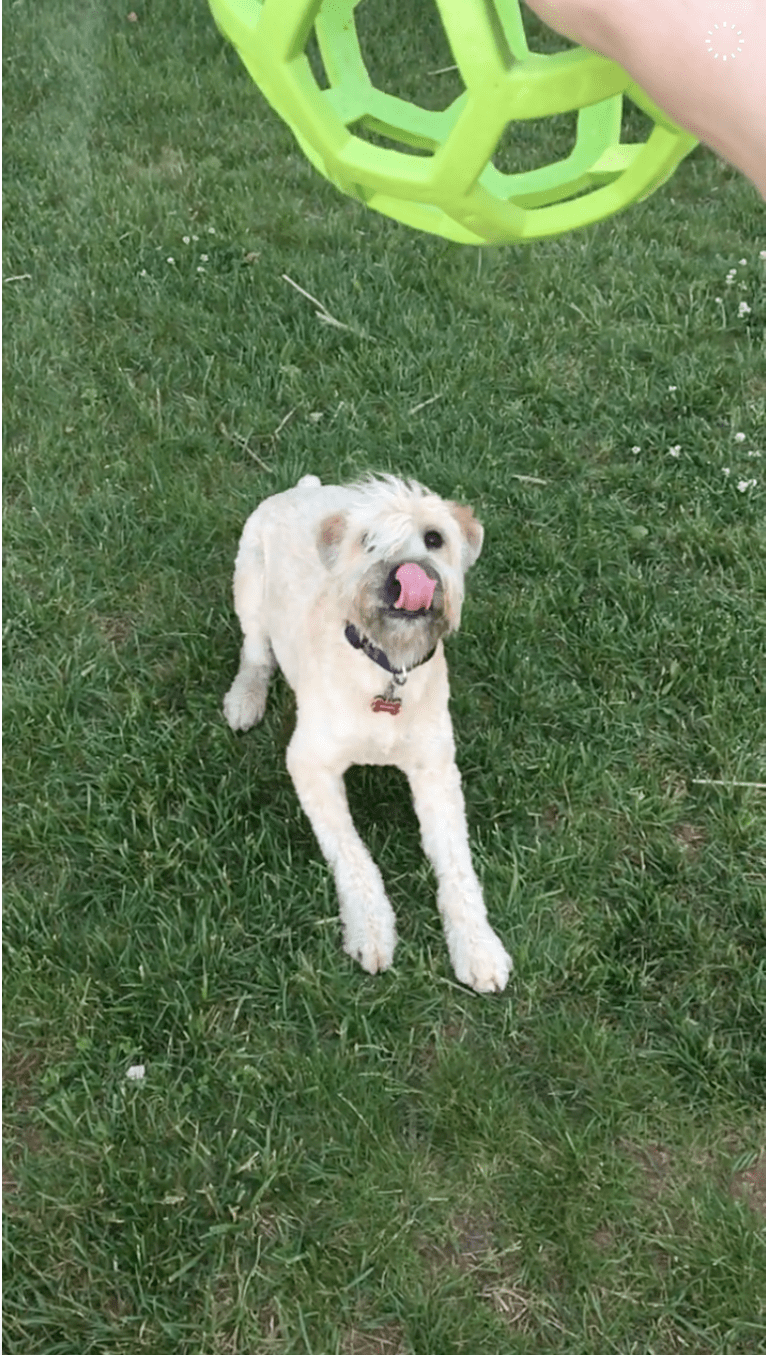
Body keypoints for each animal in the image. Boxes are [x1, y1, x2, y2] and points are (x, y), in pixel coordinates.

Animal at [223, 476, 509, 997]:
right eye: (368, 541)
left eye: (434, 538)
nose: (406, 578)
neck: (387, 672)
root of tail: (305, 487)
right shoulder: (309, 764)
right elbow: (352, 854)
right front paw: (371, 930)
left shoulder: (437, 772)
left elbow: (458, 866)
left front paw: (478, 947)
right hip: (249, 584)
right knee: (255, 649)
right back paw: (245, 697)